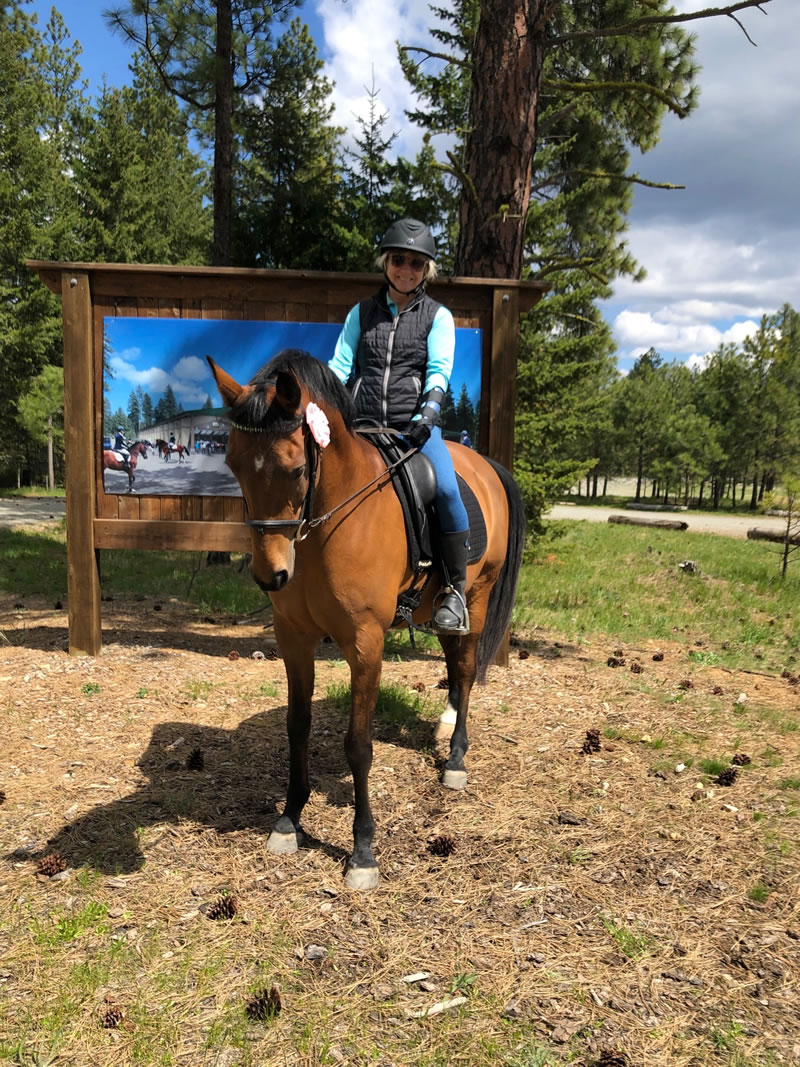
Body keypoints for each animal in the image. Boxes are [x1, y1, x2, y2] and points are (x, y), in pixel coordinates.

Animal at [210, 349, 529, 892]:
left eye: (297, 469)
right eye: (232, 465)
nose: (271, 575)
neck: (322, 529)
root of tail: (486, 465)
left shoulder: (365, 644)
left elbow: (358, 745)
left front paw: (362, 851)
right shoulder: (294, 638)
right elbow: (297, 725)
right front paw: (289, 819)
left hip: (480, 596)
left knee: (466, 671)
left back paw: (456, 758)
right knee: (453, 663)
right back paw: (446, 723)